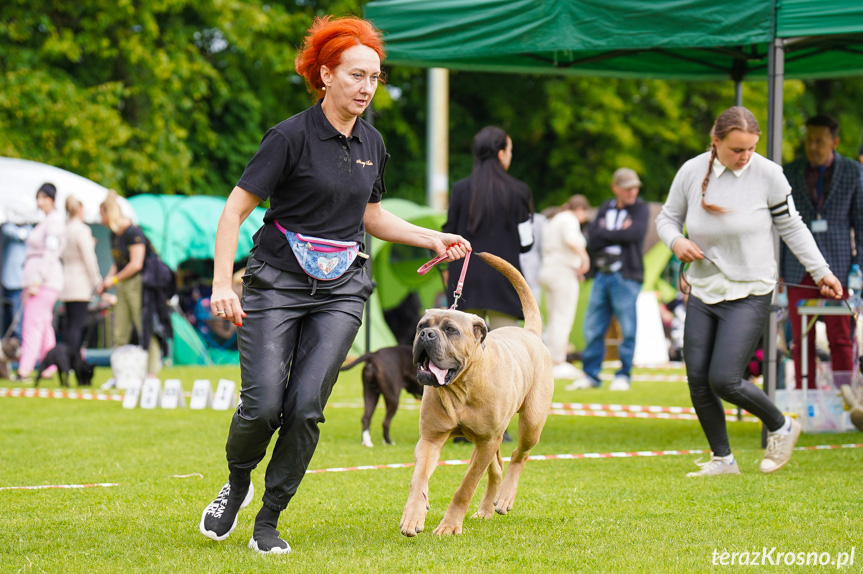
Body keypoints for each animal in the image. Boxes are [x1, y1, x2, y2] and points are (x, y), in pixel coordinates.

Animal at [400, 254, 552, 536]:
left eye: (450, 330)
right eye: (421, 326)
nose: (426, 334)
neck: (462, 387)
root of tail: (529, 332)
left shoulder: (488, 441)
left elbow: (466, 487)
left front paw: (449, 525)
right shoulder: (431, 439)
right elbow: (419, 479)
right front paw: (413, 516)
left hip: (529, 425)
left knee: (519, 455)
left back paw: (504, 498)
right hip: (485, 440)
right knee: (497, 469)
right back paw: (486, 509)